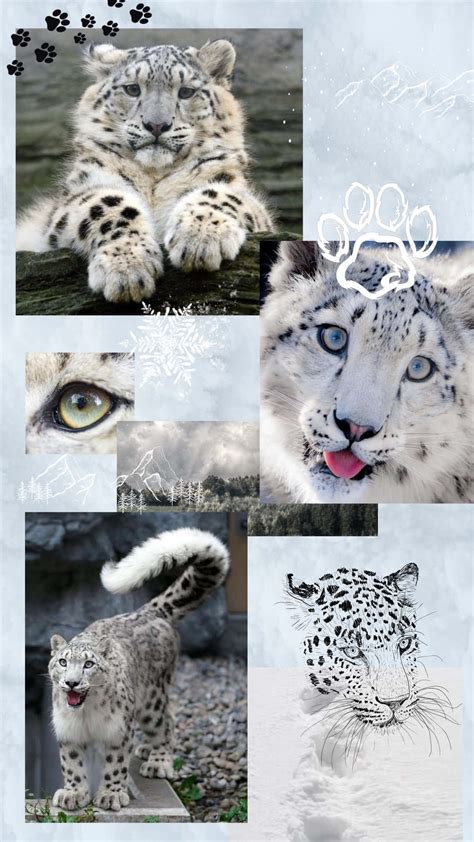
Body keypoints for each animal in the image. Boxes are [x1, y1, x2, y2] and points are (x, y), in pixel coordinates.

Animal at [16, 40, 274, 303]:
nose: (157, 125)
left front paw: (200, 238)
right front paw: (127, 267)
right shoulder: (79, 193)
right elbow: (106, 205)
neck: (154, 179)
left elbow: (221, 195)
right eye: (132, 89)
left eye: (186, 92)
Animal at [48, 527, 229, 811]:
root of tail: (150, 611)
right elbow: (72, 764)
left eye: (89, 664)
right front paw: (73, 794)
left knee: (166, 721)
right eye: (63, 662)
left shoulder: (118, 731)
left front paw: (110, 795)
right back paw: (146, 749)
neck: (86, 715)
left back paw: (158, 761)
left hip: (152, 699)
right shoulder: (68, 732)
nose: (72, 683)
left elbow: (115, 765)